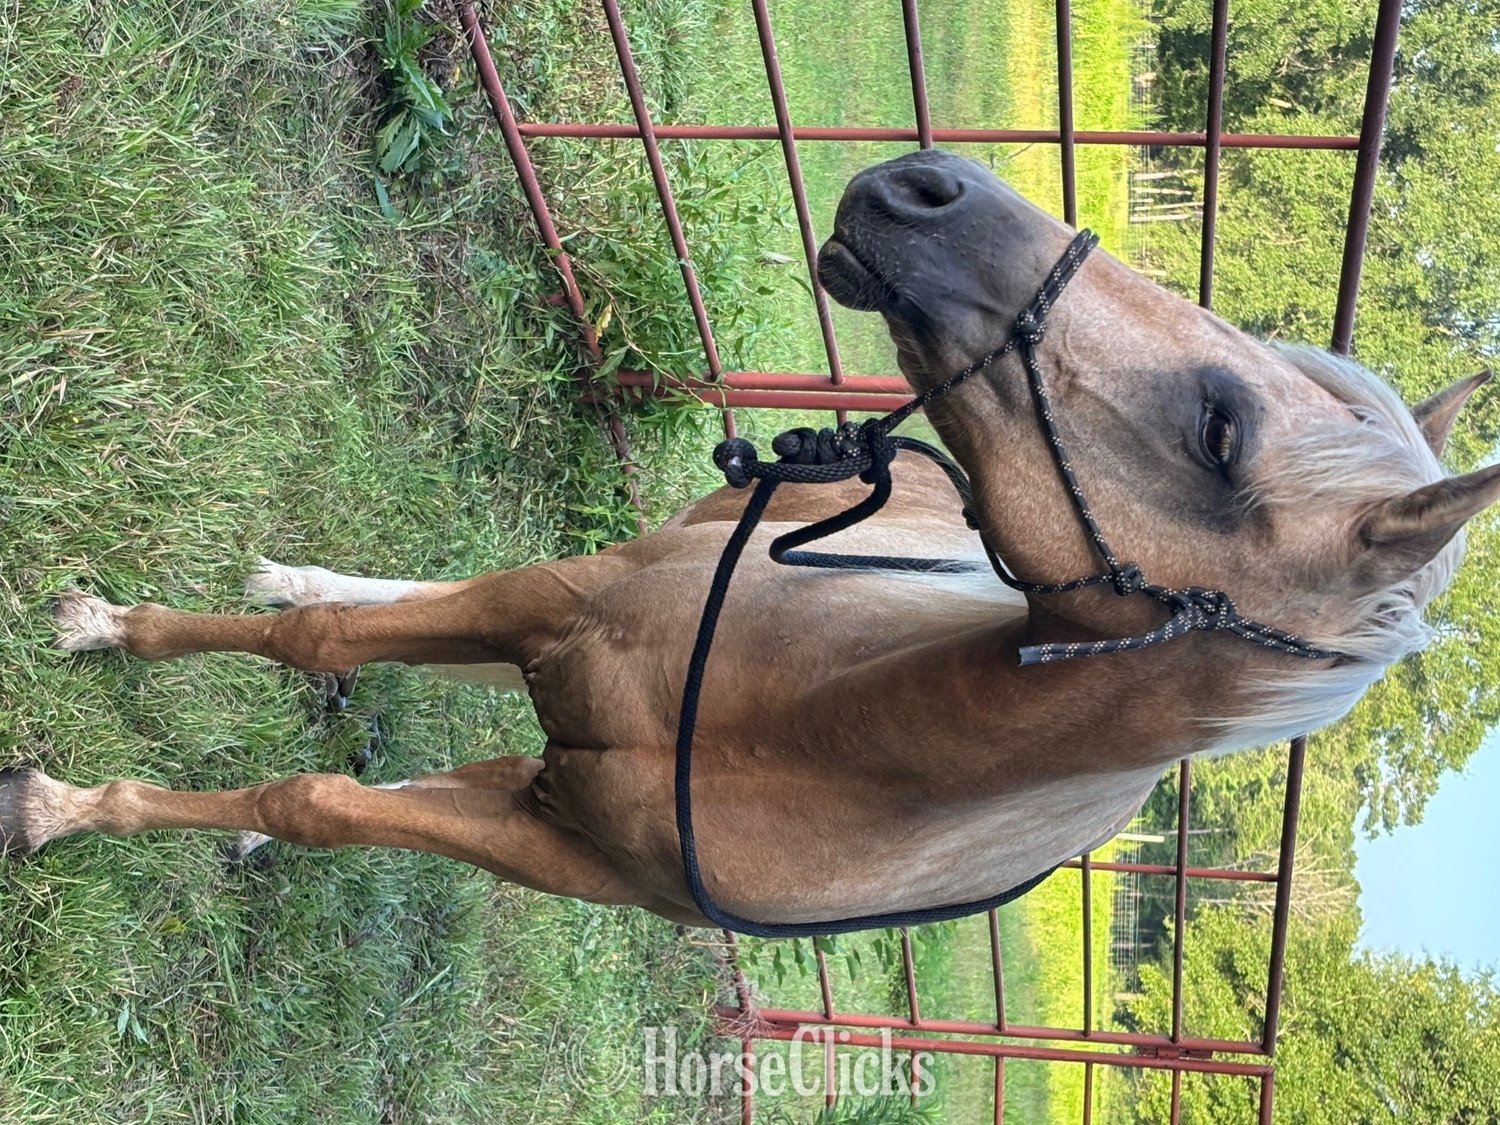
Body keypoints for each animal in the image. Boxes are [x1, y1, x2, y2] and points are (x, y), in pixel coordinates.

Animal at [8, 149, 1496, 930]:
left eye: (1218, 431)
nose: (925, 181)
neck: (812, 729)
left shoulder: (551, 844)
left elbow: (318, 803)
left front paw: (77, 805)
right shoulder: (552, 601)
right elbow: (319, 651)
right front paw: (96, 665)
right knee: (383, 611)